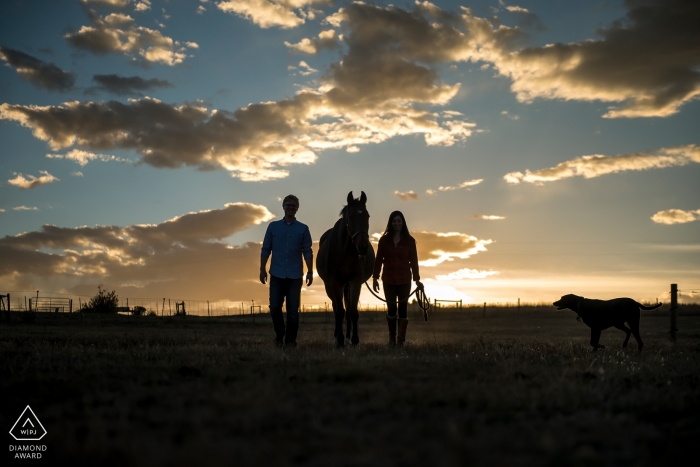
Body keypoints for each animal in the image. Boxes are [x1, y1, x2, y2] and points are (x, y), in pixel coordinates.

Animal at [314, 191, 374, 348]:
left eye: (367, 216)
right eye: (350, 217)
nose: (363, 247)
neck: (344, 249)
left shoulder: (355, 281)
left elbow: (352, 311)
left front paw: (354, 340)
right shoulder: (335, 282)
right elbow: (339, 311)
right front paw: (339, 339)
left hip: (346, 286)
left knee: (347, 309)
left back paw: (347, 338)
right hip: (330, 286)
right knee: (336, 308)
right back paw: (337, 337)